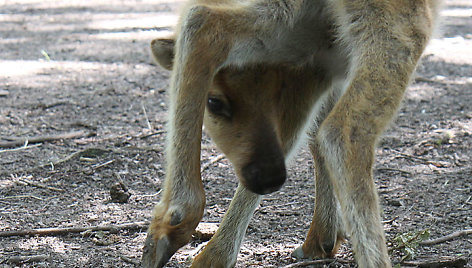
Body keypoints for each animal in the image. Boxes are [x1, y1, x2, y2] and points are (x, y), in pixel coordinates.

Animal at [142, 1, 440, 266]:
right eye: (214, 103)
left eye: (277, 94)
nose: (268, 177)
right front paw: (324, 239)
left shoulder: (319, 62)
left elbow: (302, 134)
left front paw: (322, 240)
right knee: (341, 132)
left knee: (204, 20)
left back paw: (174, 240)